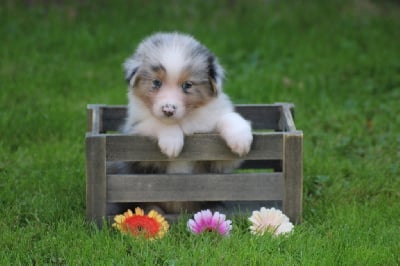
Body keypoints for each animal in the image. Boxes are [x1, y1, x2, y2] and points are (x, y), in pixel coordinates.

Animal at [119, 31, 252, 212]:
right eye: (156, 82)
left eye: (187, 85)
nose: (168, 109)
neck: (185, 119)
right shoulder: (134, 133)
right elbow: (156, 122)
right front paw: (172, 142)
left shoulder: (218, 160)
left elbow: (228, 117)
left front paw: (241, 139)